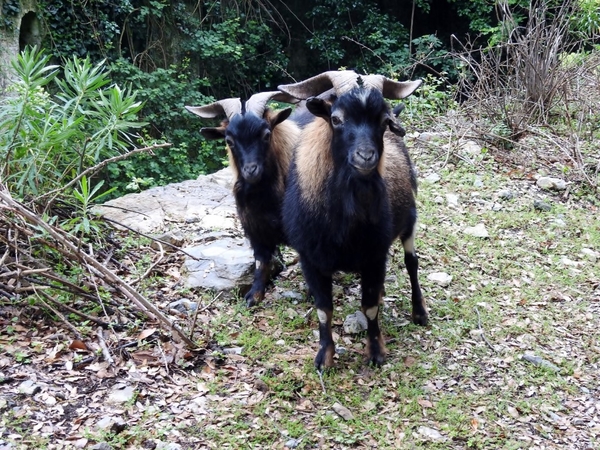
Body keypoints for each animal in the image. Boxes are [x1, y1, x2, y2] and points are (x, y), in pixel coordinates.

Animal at [185, 92, 300, 310]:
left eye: (266, 134)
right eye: (229, 140)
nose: (251, 171)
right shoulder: (256, 231)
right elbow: (261, 262)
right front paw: (254, 295)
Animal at [278, 71, 428, 370]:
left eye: (383, 121)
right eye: (336, 119)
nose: (366, 157)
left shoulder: (374, 255)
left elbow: (369, 308)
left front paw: (376, 352)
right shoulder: (310, 258)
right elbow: (323, 310)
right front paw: (324, 357)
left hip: (409, 220)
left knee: (412, 262)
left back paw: (420, 313)